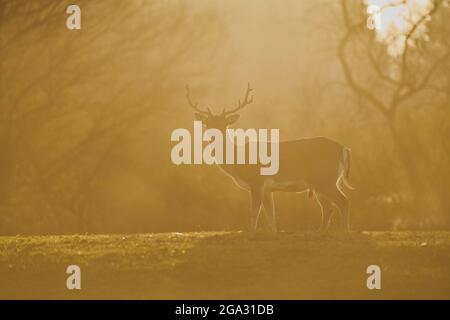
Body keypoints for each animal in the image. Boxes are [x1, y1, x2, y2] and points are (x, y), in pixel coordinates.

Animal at [185, 82, 354, 232]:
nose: (212, 134)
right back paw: (321, 232)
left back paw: (343, 231)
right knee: (329, 207)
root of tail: (343, 149)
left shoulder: (257, 181)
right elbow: (271, 216)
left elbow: (254, 213)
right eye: (207, 123)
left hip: (324, 178)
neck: (238, 162)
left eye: (223, 124)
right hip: (321, 182)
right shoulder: (267, 189)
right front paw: (273, 234)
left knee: (343, 201)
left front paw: (251, 234)